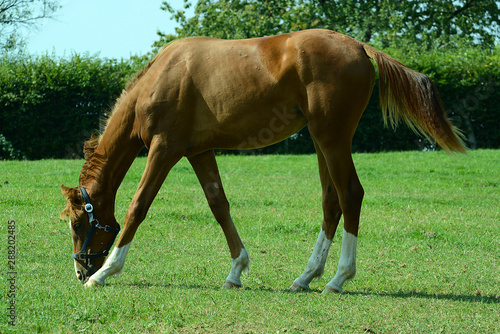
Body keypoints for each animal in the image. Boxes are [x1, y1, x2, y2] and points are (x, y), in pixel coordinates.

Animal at [59, 30, 464, 294]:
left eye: (78, 223)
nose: (79, 270)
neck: (161, 77)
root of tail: (360, 47)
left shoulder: (164, 149)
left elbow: (138, 206)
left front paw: (105, 273)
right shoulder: (198, 152)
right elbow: (219, 205)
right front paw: (236, 270)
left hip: (332, 140)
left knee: (350, 195)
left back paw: (338, 279)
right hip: (322, 142)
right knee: (331, 202)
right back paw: (306, 277)